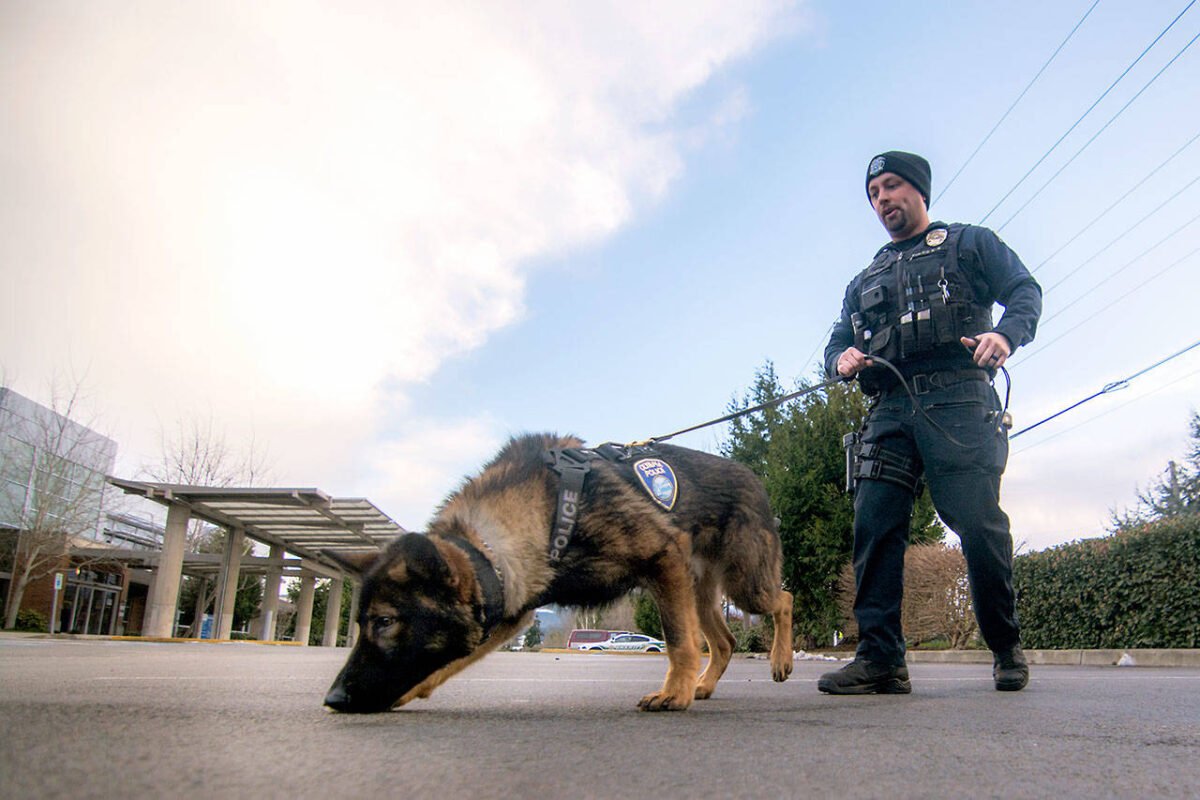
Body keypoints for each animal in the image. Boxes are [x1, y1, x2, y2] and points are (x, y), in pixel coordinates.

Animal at [324, 431, 792, 714]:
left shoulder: (663, 558)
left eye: (385, 621)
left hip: (743, 584)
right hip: (696, 589)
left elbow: (678, 641)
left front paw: (673, 694)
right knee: (727, 641)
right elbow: (445, 663)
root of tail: (754, 476)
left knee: (784, 599)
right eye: (361, 623)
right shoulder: (507, 611)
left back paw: (779, 661)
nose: (333, 698)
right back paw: (705, 684)